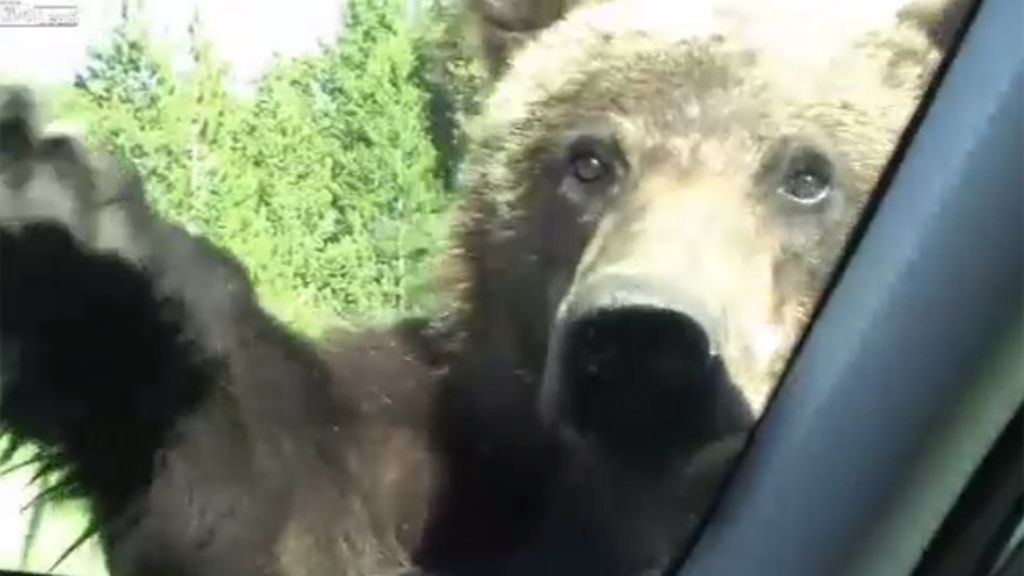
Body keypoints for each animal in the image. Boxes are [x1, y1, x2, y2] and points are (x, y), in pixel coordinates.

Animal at [0, 0, 966, 574]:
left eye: (806, 175)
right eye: (590, 159)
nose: (642, 341)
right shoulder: (448, 467)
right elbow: (290, 509)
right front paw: (65, 226)